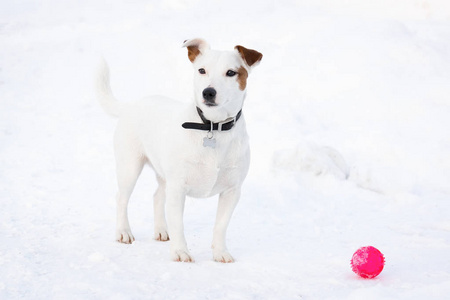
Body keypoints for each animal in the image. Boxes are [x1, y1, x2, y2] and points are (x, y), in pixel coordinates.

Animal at [96, 38, 262, 262]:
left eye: (231, 72)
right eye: (201, 70)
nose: (208, 92)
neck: (212, 126)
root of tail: (131, 105)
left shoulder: (232, 191)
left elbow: (220, 226)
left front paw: (220, 252)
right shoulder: (178, 188)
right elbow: (178, 224)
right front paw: (180, 251)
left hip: (163, 174)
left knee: (157, 196)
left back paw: (160, 230)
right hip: (129, 167)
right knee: (121, 198)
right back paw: (123, 232)